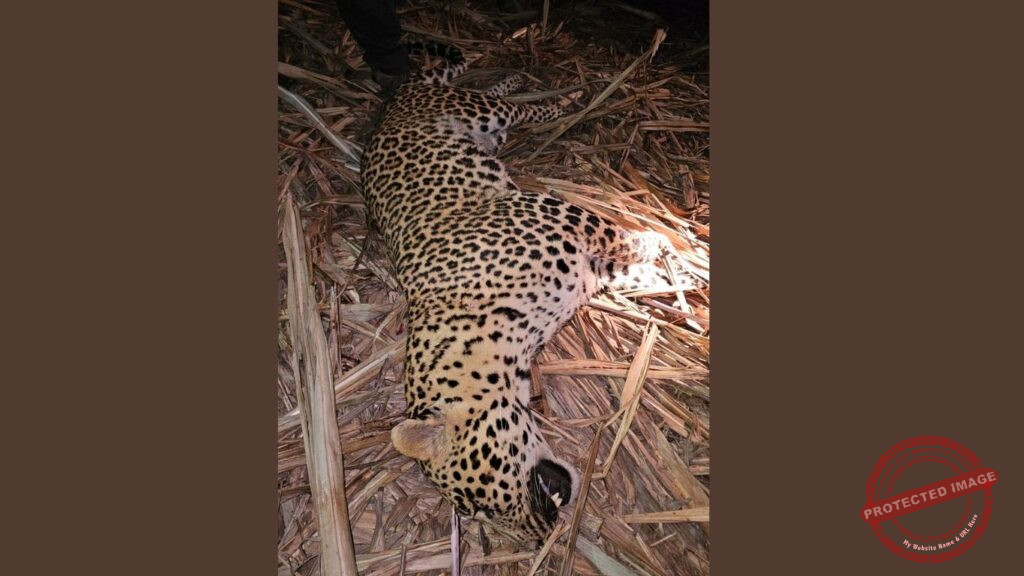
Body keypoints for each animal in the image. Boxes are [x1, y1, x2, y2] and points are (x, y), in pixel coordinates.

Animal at [360, 42, 673, 543]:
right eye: (476, 513)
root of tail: (393, 104)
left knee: (516, 105)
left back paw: (565, 97)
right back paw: (522, 83)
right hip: (481, 121)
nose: (542, 534)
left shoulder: (559, 214)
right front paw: (671, 275)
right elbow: (627, 273)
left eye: (482, 499)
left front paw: (663, 244)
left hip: (472, 109)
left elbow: (621, 236)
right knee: (490, 95)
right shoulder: (586, 270)